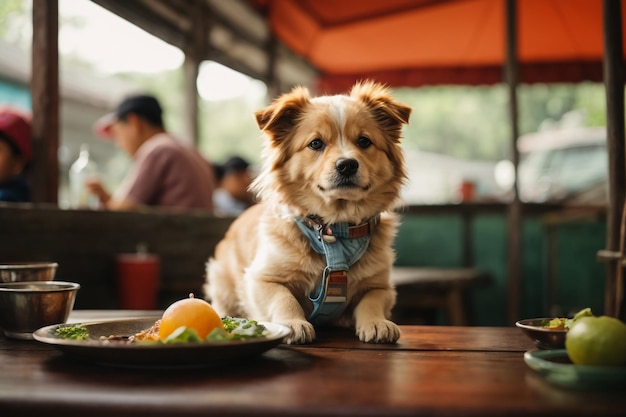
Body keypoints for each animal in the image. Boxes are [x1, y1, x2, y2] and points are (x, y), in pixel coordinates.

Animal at [204, 79, 410, 342]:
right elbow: (283, 298)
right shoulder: (261, 278)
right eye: (316, 144)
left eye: (364, 141)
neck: (334, 229)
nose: (347, 165)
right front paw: (293, 323)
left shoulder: (381, 285)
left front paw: (376, 322)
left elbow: (372, 300)